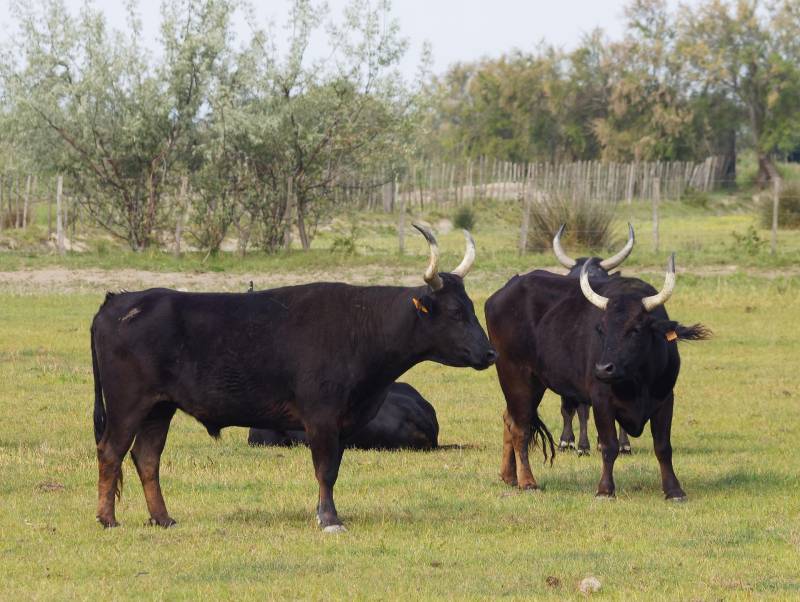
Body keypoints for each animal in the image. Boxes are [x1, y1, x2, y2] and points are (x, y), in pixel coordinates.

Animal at [486, 253, 709, 499]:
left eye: (636, 329)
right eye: (601, 329)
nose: (603, 368)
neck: (637, 381)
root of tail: (503, 293)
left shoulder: (665, 399)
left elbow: (663, 446)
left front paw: (674, 490)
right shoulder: (602, 401)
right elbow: (609, 446)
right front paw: (605, 489)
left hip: (534, 383)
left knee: (510, 418)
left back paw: (509, 476)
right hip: (515, 375)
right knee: (520, 427)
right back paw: (527, 481)